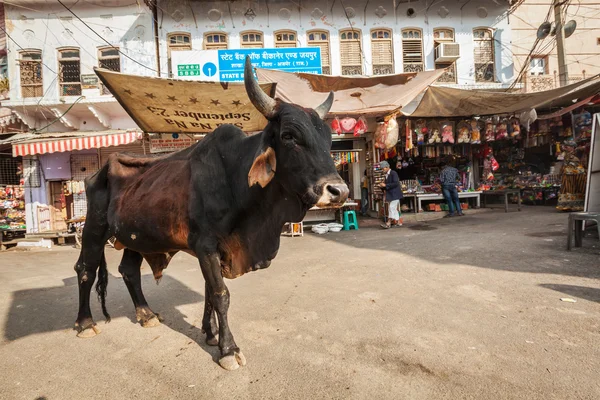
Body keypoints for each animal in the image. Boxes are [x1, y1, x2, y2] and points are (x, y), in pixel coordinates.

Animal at [75, 56, 350, 368]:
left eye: (328, 139)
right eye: (289, 136)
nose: (339, 191)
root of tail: (99, 171)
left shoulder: (214, 250)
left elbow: (208, 292)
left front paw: (211, 334)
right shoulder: (206, 245)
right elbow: (220, 294)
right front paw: (228, 349)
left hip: (137, 235)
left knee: (129, 270)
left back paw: (146, 315)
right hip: (94, 228)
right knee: (85, 269)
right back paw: (85, 324)